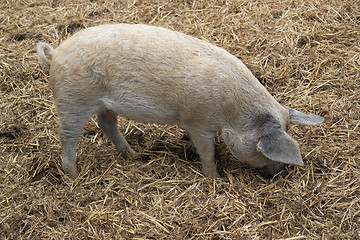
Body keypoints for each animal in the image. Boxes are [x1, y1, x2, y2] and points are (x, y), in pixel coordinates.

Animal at [35, 23, 324, 179]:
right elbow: (207, 153)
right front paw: (215, 178)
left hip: (103, 104)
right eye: (263, 150)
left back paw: (134, 155)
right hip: (72, 101)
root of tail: (56, 53)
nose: (280, 172)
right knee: (67, 138)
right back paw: (74, 177)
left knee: (106, 124)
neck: (233, 114)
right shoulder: (196, 122)